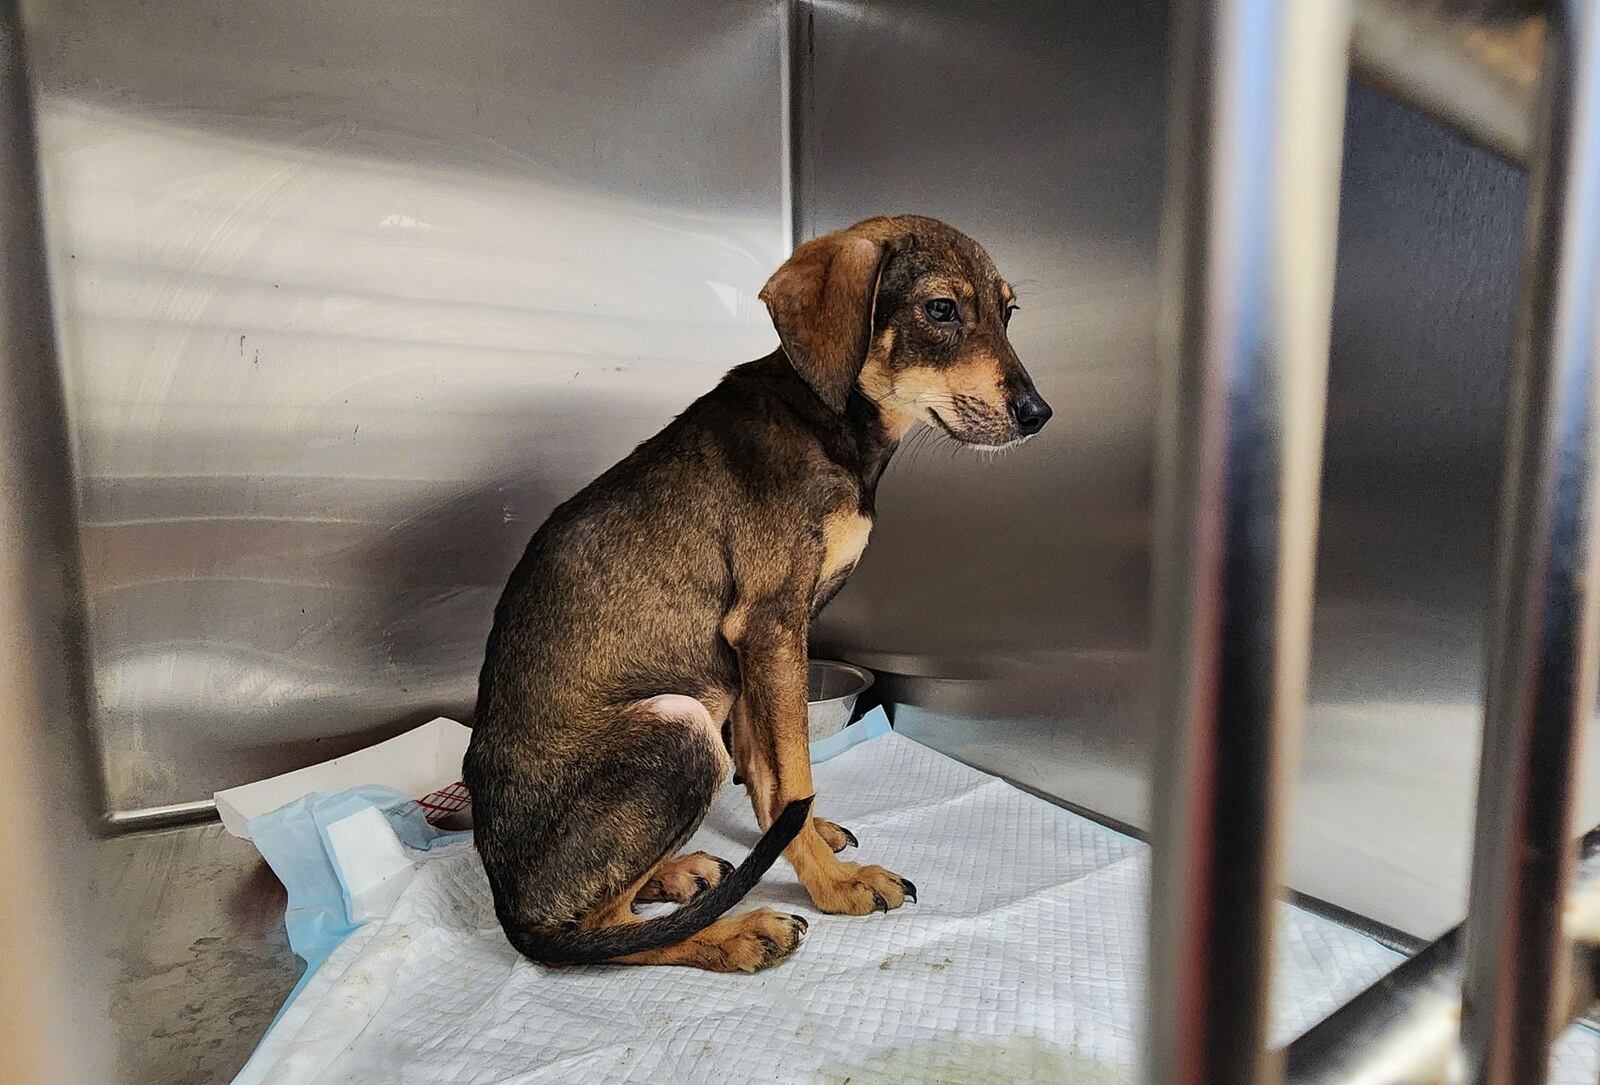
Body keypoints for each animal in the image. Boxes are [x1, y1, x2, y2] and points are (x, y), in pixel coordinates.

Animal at [467, 214, 1049, 979]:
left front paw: (808, 843)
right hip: (680, 725)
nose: (1039, 414)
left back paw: (676, 872)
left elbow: (773, 778)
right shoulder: (770, 625)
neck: (828, 421)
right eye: (942, 309)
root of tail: (510, 912)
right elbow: (793, 773)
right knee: (603, 930)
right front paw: (834, 887)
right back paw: (733, 930)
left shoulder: (753, 653)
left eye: (1009, 313)